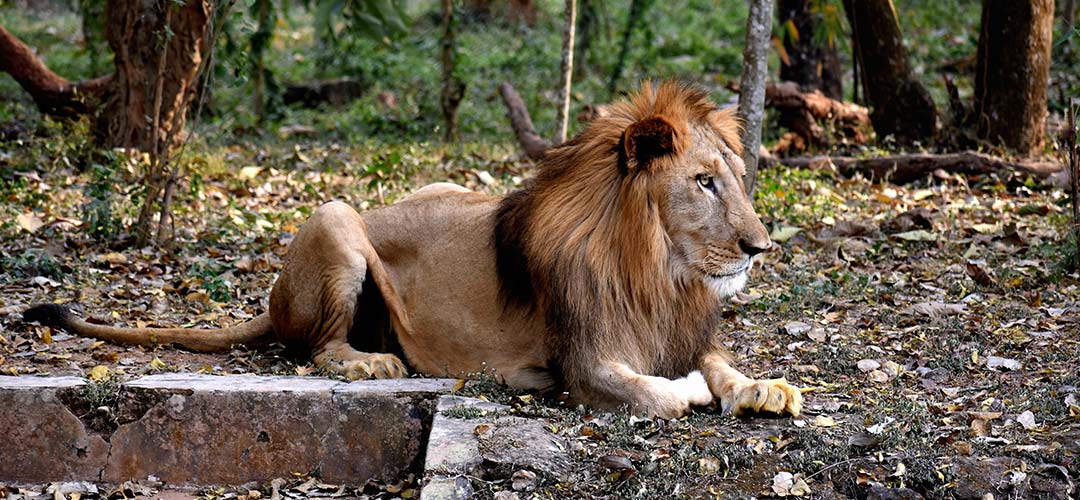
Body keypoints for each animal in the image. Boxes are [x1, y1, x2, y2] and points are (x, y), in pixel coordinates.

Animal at [23, 82, 803, 419]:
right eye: (703, 182)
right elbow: (658, 393)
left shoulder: (678, 327)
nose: (761, 246)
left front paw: (764, 387)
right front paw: (692, 390)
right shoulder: (584, 359)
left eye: (736, 179)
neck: (658, 271)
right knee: (314, 348)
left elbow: (719, 364)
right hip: (336, 217)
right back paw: (368, 362)